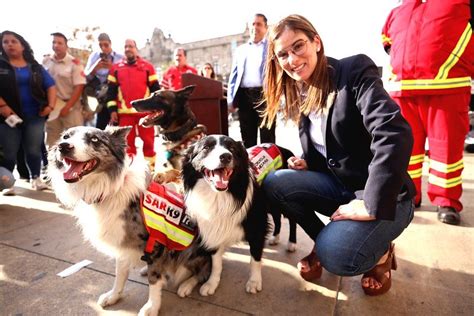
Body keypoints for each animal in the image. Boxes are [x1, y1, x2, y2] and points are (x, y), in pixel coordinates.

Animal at [47, 125, 213, 314]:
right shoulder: (122, 242)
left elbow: (154, 279)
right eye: (66, 137)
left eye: (95, 139)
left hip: (190, 252)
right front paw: (114, 295)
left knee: (202, 271)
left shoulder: (155, 242)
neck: (107, 190)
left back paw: (186, 285)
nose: (63, 146)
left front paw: (151, 307)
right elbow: (120, 273)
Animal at [131, 86, 298, 252]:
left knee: (291, 220)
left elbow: (175, 172)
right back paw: (275, 237)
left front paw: (160, 174)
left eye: (157, 96)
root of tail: (284, 149)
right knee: (276, 216)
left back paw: (291, 243)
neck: (180, 134)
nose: (133, 102)